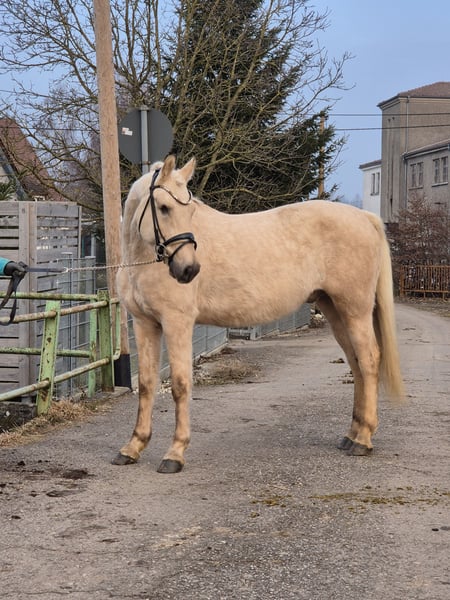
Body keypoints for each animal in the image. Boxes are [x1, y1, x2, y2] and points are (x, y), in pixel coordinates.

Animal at [114, 154, 405, 473]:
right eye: (164, 208)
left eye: (189, 210)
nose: (189, 270)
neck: (143, 261)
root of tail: (366, 218)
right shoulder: (145, 324)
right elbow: (146, 384)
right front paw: (133, 447)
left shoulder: (177, 322)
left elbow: (180, 384)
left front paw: (174, 453)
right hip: (335, 310)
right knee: (356, 363)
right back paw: (351, 435)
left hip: (355, 310)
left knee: (369, 360)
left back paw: (363, 440)